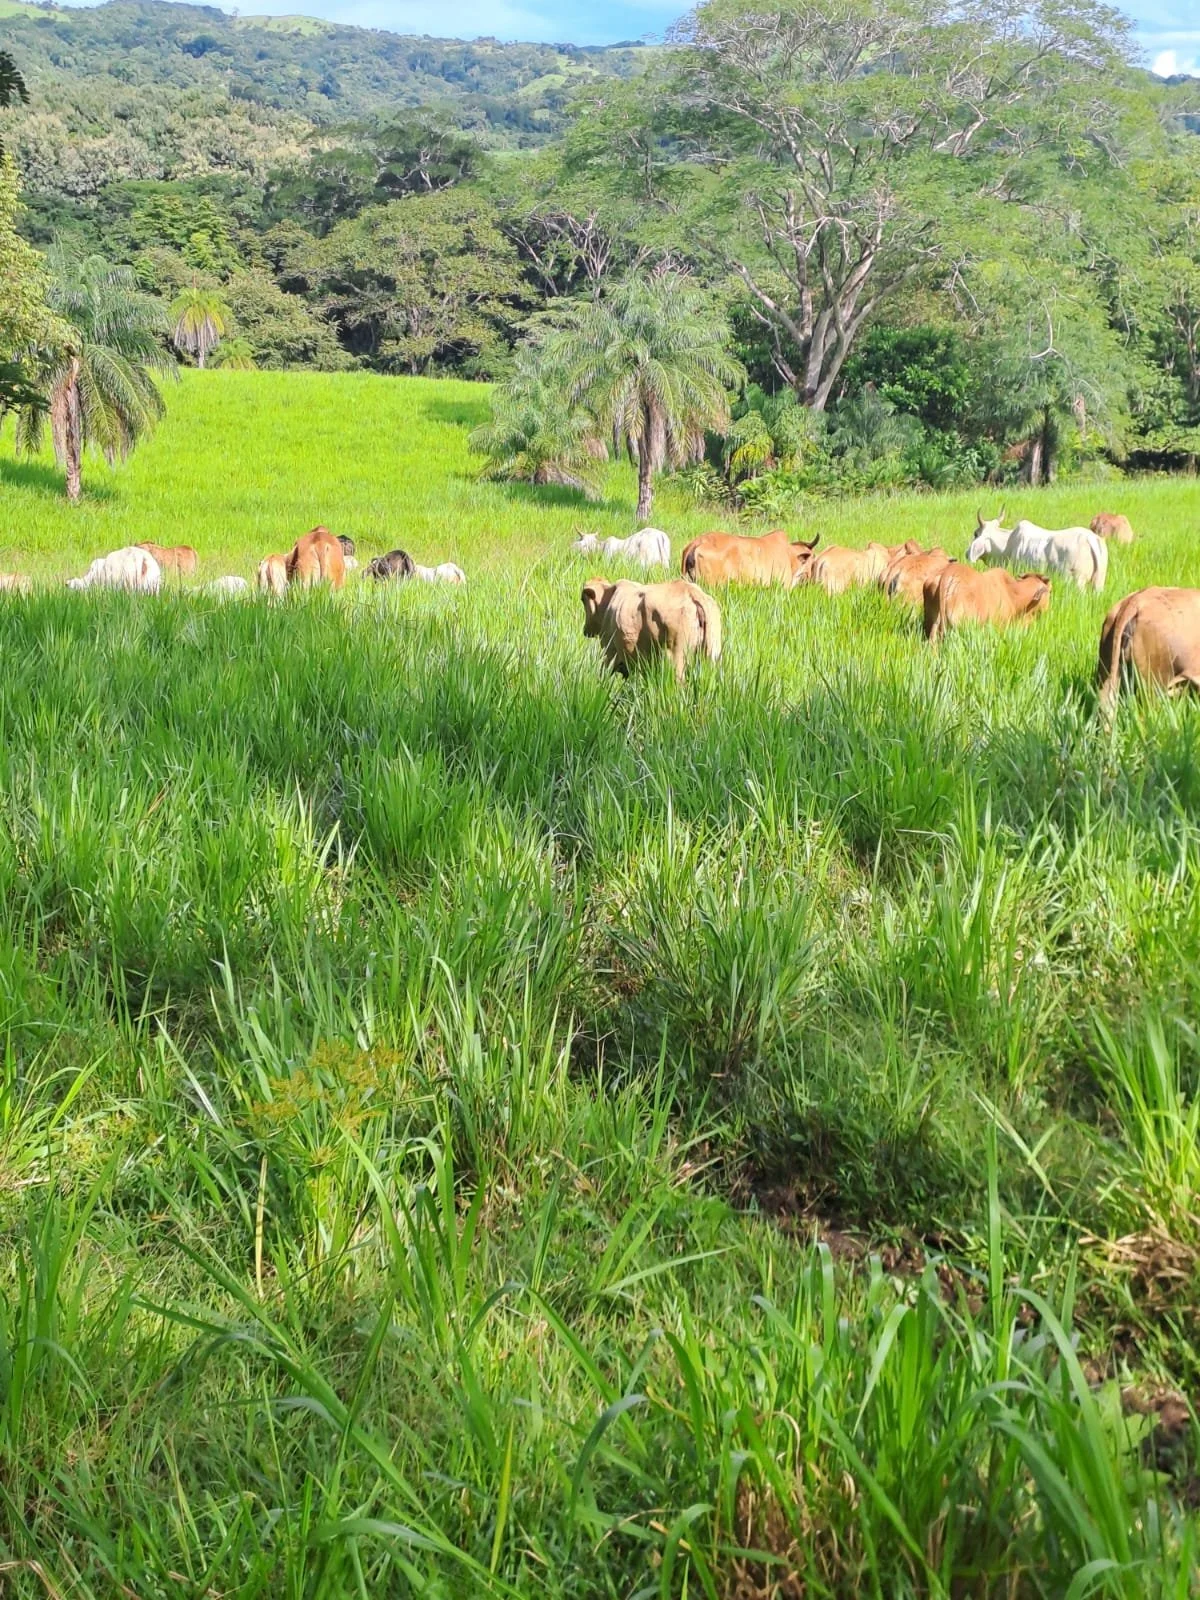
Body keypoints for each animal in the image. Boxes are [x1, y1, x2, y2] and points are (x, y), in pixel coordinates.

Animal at [581, 576, 722, 683]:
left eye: (583, 600)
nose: (585, 630)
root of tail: (691, 592)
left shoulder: (610, 651)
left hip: (676, 656)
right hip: (711, 654)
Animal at [967, 512, 1107, 592]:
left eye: (976, 534)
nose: (967, 553)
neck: (1007, 545)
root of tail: (1090, 538)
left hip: (1077, 581)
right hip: (1099, 583)